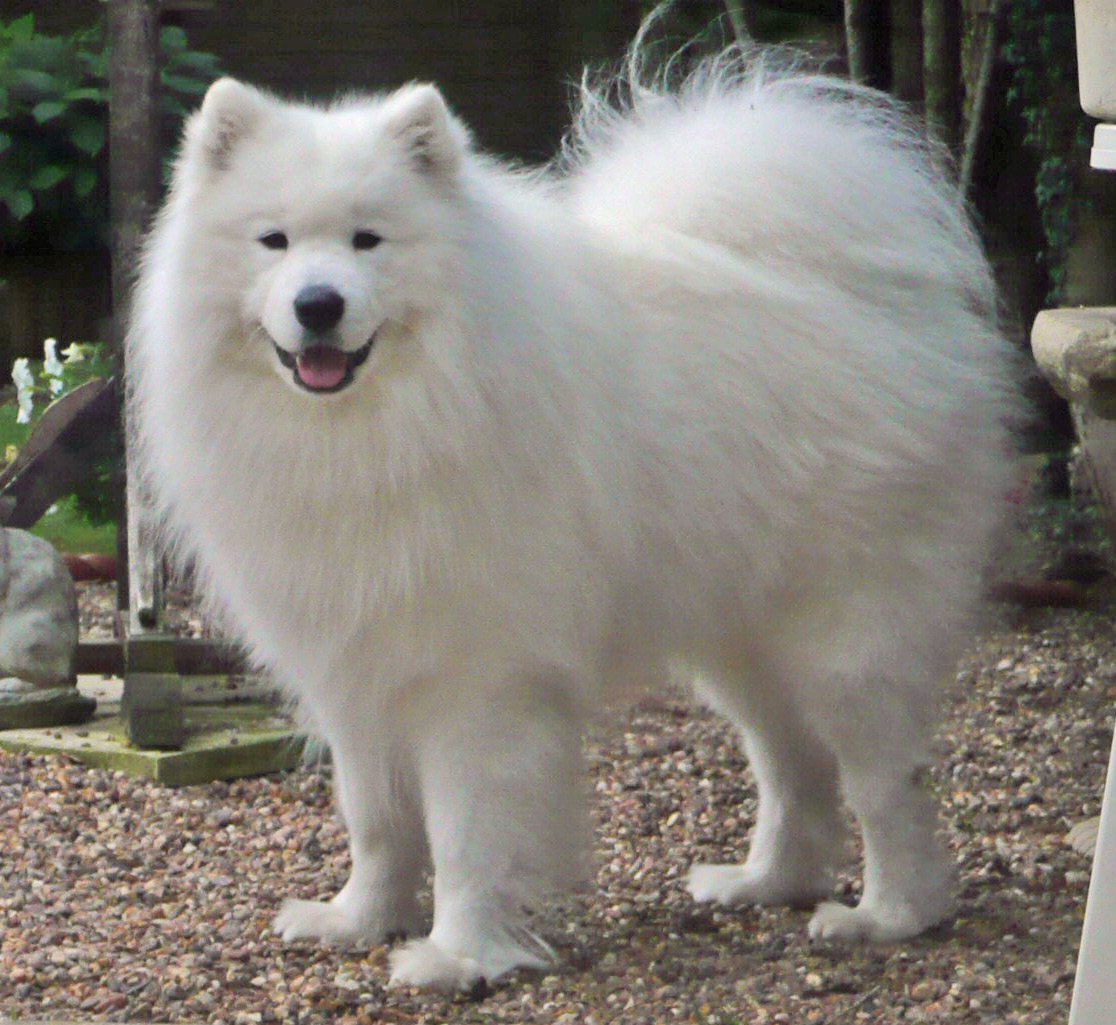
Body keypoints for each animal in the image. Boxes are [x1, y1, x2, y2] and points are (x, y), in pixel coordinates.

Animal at [128, 34, 1022, 995]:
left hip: (846, 640)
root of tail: (874, 301)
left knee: (883, 783)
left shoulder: (477, 682)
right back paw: (765, 883)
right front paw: (358, 919)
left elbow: (464, 834)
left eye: (369, 240)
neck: (382, 422)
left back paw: (888, 915)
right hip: (741, 640)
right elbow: (376, 820)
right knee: (794, 769)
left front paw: (456, 955)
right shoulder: (358, 668)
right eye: (274, 241)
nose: (318, 303)